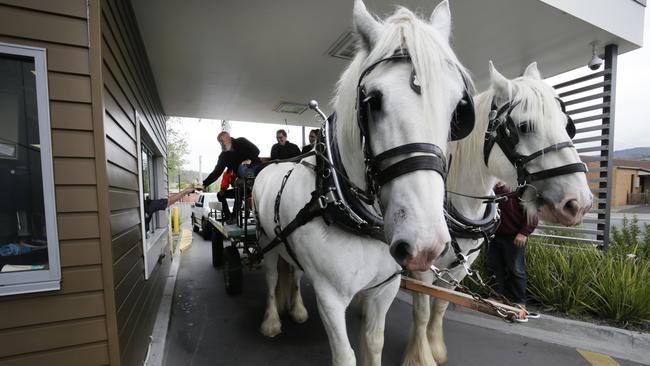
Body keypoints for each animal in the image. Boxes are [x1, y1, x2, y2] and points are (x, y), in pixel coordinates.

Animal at [253, 1, 470, 364]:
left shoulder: (384, 290)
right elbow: (346, 355)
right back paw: (271, 321)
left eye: (457, 108)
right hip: (265, 240)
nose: (425, 244)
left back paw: (296, 309)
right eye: (374, 100)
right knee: (270, 279)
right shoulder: (329, 296)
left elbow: (374, 342)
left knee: (293, 272)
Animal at [400, 61, 592, 364]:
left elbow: (440, 305)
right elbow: (422, 309)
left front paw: (436, 348)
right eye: (524, 127)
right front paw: (419, 356)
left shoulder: (458, 269)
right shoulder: (422, 267)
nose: (578, 203)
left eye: (567, 126)